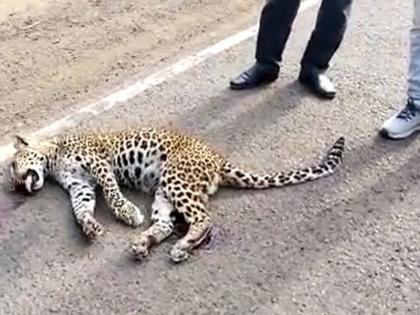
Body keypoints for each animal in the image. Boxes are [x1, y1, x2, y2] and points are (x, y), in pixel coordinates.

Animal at [9, 128, 344, 264]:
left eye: (12, 165)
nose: (16, 186)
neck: (53, 159)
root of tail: (217, 158)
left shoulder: (97, 164)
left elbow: (113, 192)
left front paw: (127, 212)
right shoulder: (81, 187)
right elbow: (80, 210)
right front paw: (90, 227)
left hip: (175, 178)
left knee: (204, 219)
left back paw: (180, 246)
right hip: (163, 191)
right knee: (168, 223)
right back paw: (145, 244)